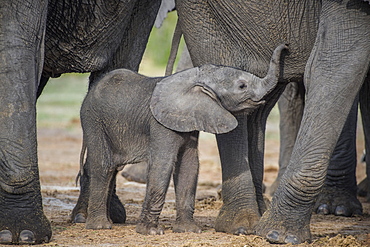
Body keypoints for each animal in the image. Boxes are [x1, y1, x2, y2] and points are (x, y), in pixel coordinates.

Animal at [71, 44, 286, 233]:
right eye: (242, 86)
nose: (285, 47)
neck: (195, 76)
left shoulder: (189, 120)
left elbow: (189, 166)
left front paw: (189, 230)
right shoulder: (160, 125)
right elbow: (163, 164)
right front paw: (150, 232)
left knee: (112, 168)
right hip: (93, 121)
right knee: (104, 166)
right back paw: (100, 226)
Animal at [176, 0, 370, 243]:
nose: (285, 46)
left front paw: (280, 233)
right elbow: (336, 63)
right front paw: (279, 235)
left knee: (259, 107)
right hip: (200, 11)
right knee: (220, 60)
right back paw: (241, 225)